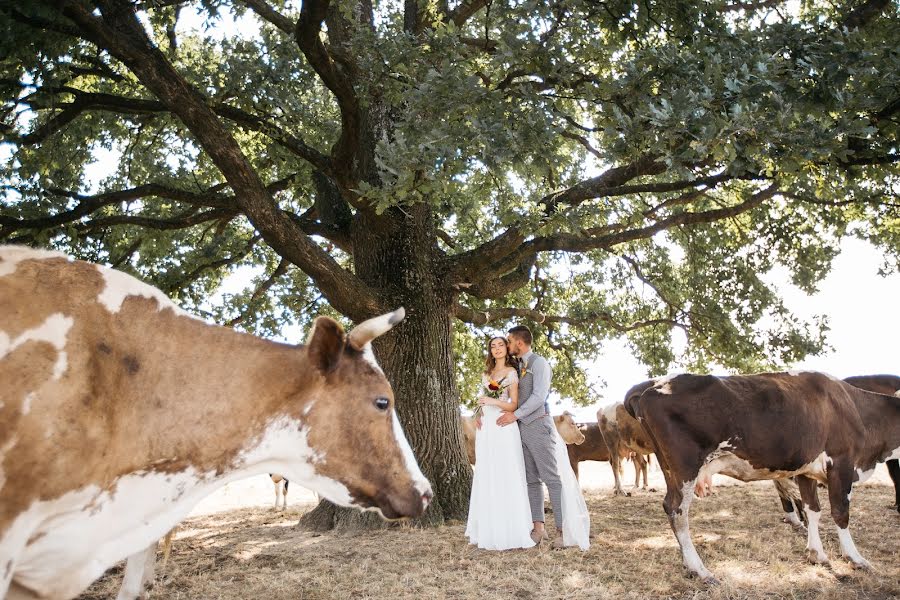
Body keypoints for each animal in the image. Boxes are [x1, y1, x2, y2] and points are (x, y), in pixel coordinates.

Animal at [624, 370, 900, 580]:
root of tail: (652, 385)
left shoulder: (806, 470)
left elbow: (812, 510)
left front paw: (817, 554)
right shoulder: (841, 463)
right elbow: (840, 513)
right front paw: (855, 558)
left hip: (671, 469)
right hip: (684, 468)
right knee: (677, 510)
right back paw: (699, 569)